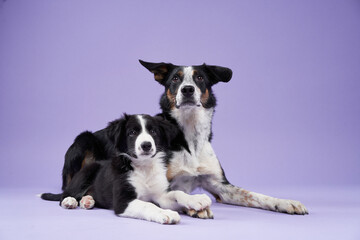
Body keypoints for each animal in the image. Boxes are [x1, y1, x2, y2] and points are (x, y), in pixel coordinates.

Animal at [43, 113, 211, 224]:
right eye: (132, 133)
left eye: (153, 132)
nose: (146, 145)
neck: (144, 168)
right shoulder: (123, 201)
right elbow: (147, 204)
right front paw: (166, 214)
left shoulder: (161, 195)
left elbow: (177, 193)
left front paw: (196, 199)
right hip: (86, 171)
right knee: (66, 193)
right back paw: (70, 201)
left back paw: (87, 200)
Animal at [139, 60, 308, 216]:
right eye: (175, 78)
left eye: (200, 77)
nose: (187, 89)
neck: (191, 139)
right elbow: (176, 196)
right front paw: (197, 208)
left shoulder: (220, 185)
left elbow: (254, 195)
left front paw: (285, 202)